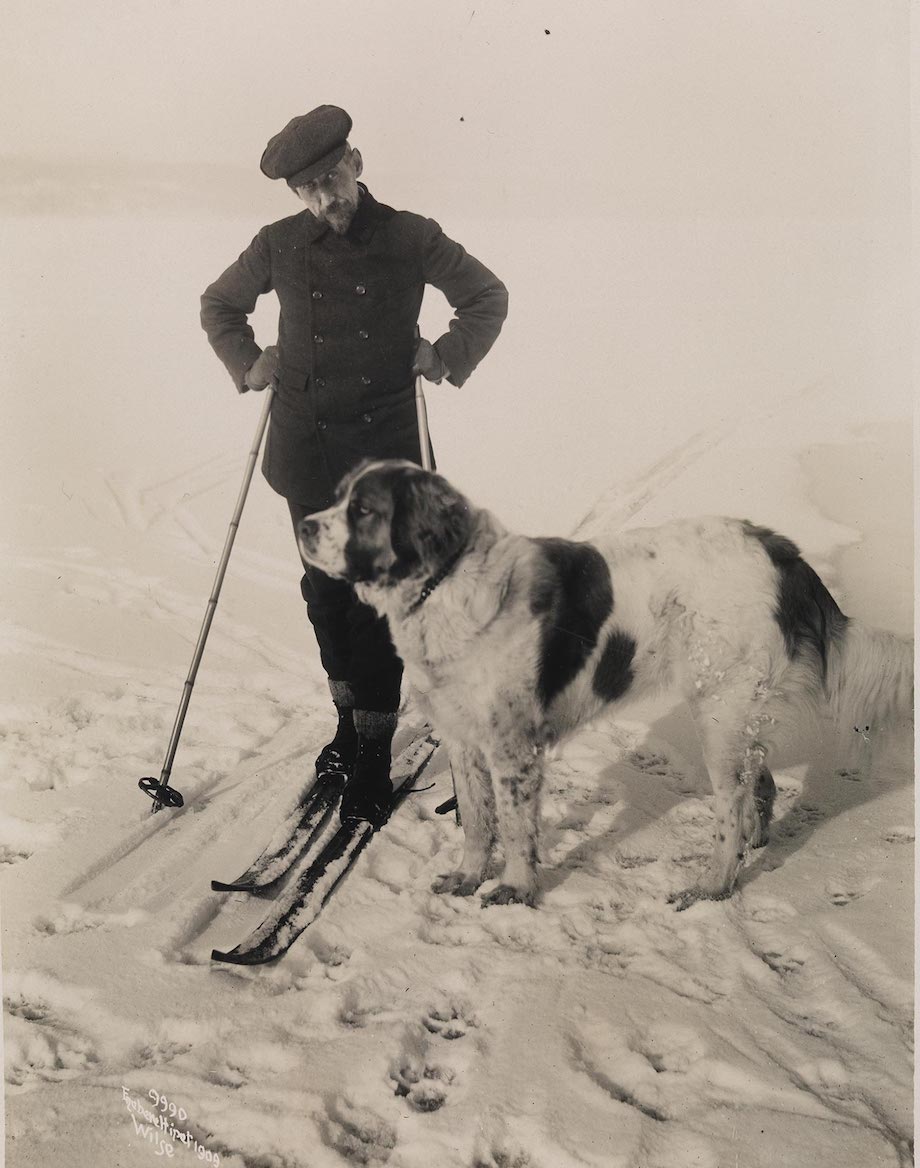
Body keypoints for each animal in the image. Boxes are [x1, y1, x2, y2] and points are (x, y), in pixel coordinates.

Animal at [296, 460, 910, 906]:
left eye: (363, 508)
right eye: (339, 496)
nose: (302, 524)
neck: (444, 585)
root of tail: (782, 551)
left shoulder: (513, 747)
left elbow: (514, 826)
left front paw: (515, 889)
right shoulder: (464, 738)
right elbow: (476, 819)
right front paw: (468, 877)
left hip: (719, 712)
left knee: (731, 808)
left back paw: (713, 884)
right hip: (735, 715)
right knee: (758, 784)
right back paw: (755, 843)